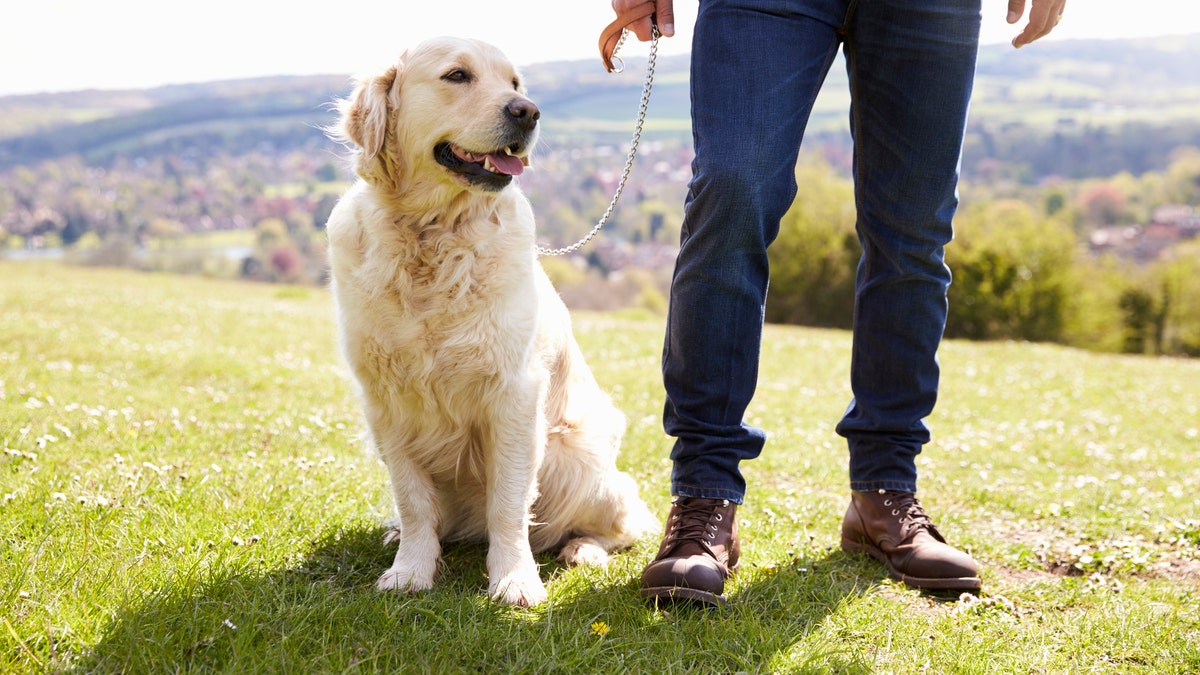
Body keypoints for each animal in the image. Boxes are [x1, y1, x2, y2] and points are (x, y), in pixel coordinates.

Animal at [326, 36, 657, 605]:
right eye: (457, 75)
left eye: (515, 83)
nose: (528, 111)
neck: (432, 236)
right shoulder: (385, 401)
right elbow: (413, 501)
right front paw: (410, 570)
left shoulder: (513, 395)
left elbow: (508, 502)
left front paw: (514, 579)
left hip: (582, 462)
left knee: (622, 525)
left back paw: (583, 549)